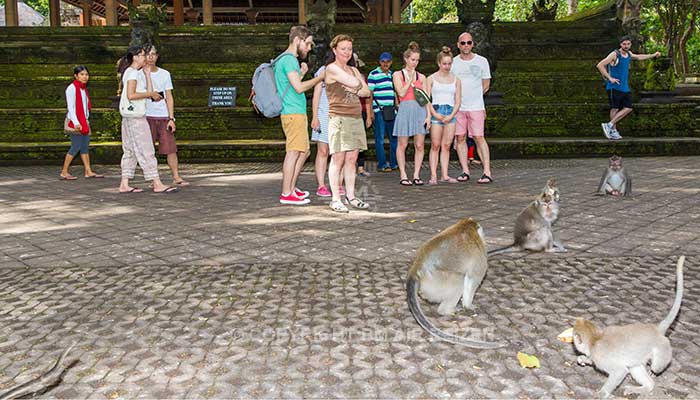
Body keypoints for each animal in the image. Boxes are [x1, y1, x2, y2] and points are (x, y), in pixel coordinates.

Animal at [404, 217, 508, 348]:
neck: (465, 227)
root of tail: (415, 270)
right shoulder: (480, 256)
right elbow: (473, 279)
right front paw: (468, 306)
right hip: (436, 281)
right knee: (459, 280)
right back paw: (446, 311)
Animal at [576, 256, 684, 400]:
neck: (595, 339)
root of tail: (656, 329)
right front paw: (584, 360)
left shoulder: (600, 357)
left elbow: (620, 371)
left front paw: (602, 393)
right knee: (635, 366)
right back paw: (646, 387)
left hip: (663, 348)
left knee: (656, 366)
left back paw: (655, 373)